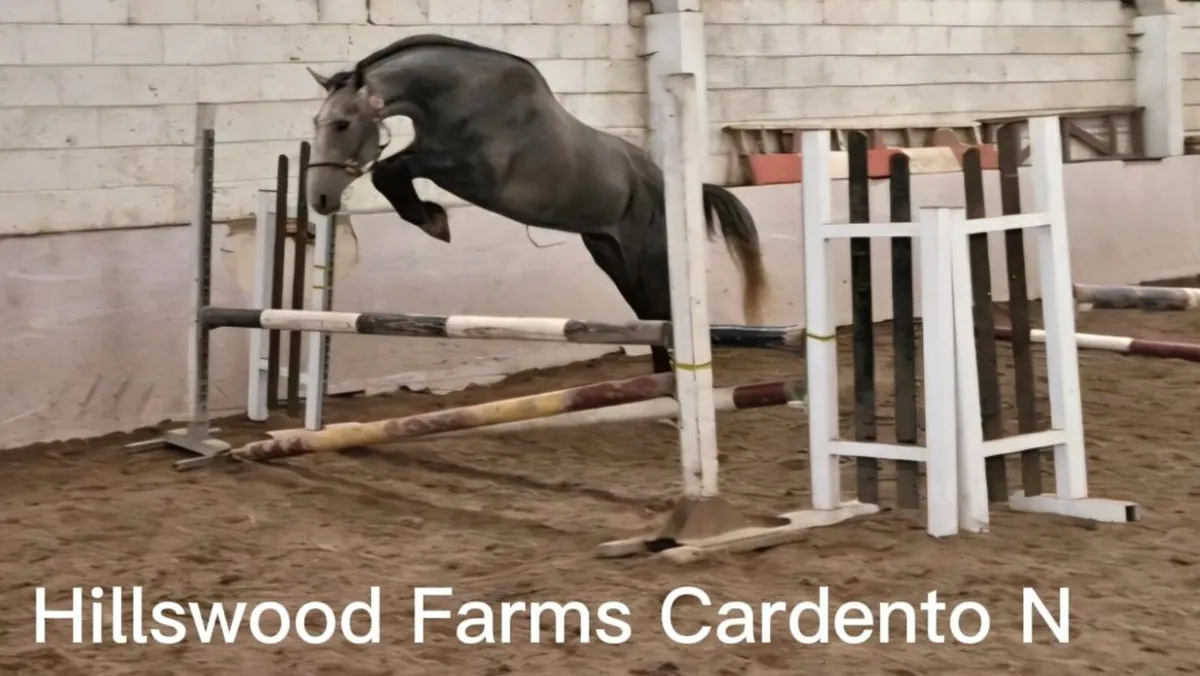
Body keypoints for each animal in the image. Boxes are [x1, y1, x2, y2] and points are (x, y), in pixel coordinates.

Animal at [305, 33, 770, 376]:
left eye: (342, 124)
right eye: (317, 123)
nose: (321, 198)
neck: (458, 95)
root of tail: (667, 182)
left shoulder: (473, 173)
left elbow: (390, 169)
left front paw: (434, 221)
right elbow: (391, 170)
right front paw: (431, 218)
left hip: (647, 255)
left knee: (662, 312)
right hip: (608, 253)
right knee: (649, 317)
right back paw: (660, 387)